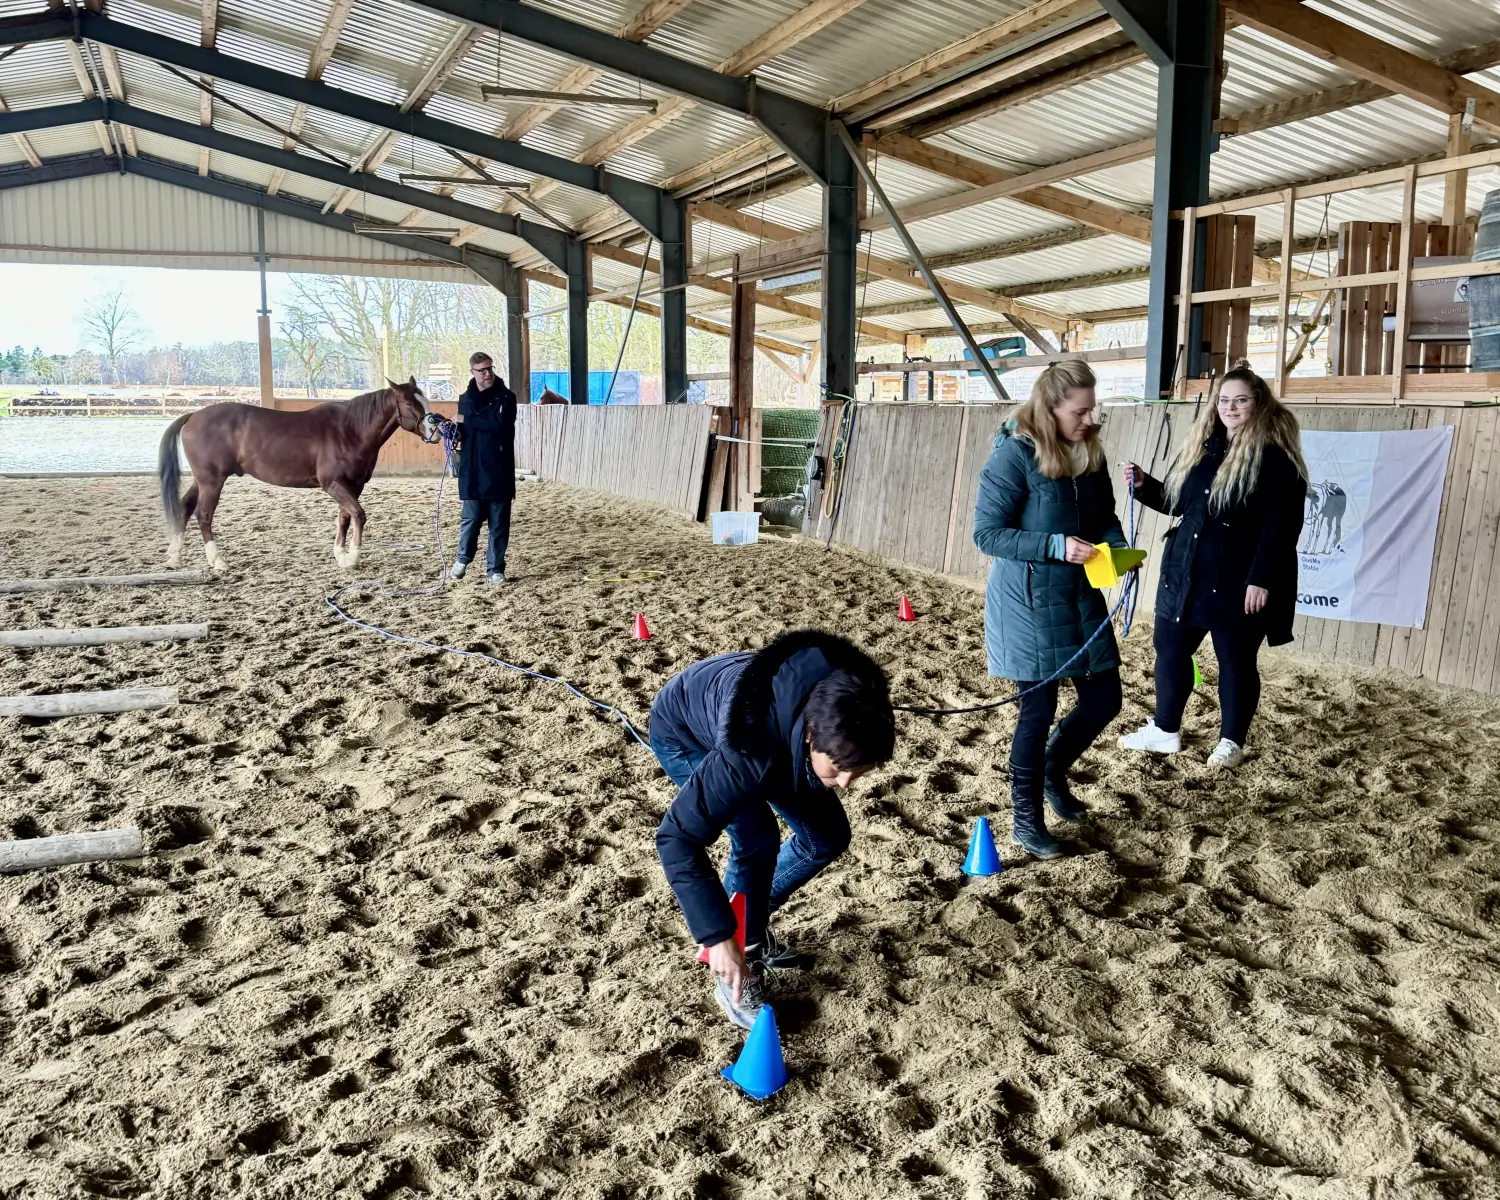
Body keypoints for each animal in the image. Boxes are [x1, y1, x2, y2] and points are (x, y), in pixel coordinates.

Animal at [159, 382, 438, 573]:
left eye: (425, 401)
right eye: (409, 403)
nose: (434, 430)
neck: (349, 430)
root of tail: (193, 416)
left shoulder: (353, 485)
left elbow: (344, 518)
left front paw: (340, 554)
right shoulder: (333, 484)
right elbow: (358, 515)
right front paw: (353, 558)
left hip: (202, 481)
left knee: (184, 509)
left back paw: (174, 557)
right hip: (212, 481)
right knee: (203, 515)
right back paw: (217, 561)